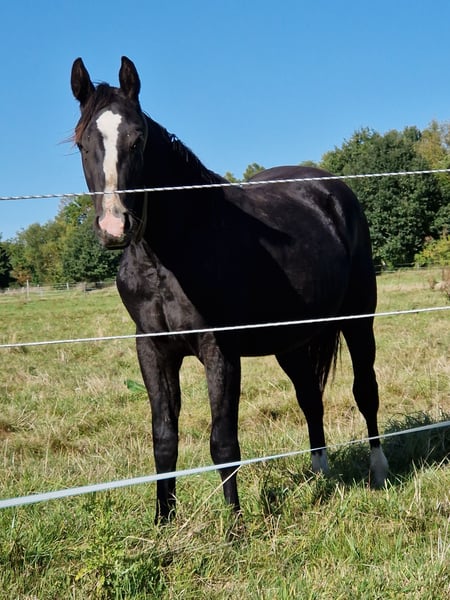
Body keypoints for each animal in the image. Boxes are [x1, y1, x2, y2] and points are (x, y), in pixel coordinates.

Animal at [71, 56, 389, 522]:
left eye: (137, 139)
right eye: (82, 143)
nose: (115, 226)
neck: (168, 255)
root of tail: (332, 189)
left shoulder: (219, 350)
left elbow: (223, 443)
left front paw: (234, 525)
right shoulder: (152, 349)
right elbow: (163, 440)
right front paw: (162, 523)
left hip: (358, 319)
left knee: (365, 390)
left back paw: (379, 472)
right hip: (291, 341)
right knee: (310, 398)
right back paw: (320, 475)